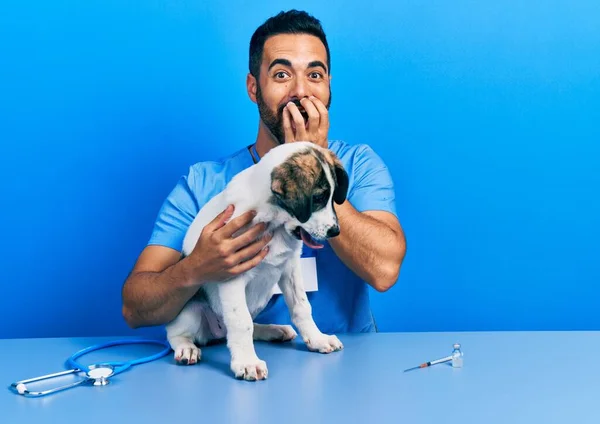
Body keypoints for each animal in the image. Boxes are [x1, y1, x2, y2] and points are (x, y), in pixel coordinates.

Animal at [166, 140, 350, 380]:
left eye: (333, 197)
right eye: (318, 198)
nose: (335, 231)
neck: (273, 222)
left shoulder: (290, 267)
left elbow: (302, 306)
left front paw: (317, 339)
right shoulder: (230, 272)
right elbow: (241, 322)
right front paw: (247, 362)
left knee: (252, 325)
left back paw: (273, 330)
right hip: (190, 310)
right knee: (177, 334)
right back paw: (187, 348)